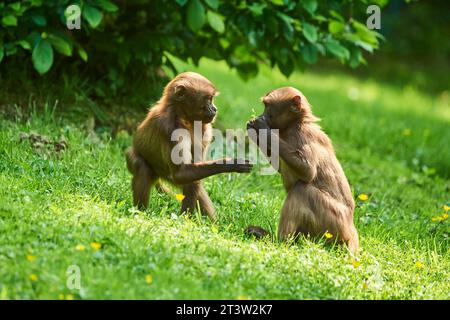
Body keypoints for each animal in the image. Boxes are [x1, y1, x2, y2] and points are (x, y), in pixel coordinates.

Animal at [126, 71, 253, 221]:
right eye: (208, 99)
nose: (215, 109)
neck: (184, 118)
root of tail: (159, 175)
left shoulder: (205, 129)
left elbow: (191, 176)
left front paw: (187, 219)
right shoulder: (169, 127)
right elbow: (182, 173)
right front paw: (230, 163)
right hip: (134, 159)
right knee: (141, 165)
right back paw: (139, 213)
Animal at [246, 87, 358, 252]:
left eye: (267, 106)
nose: (262, 115)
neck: (295, 124)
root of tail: (351, 230)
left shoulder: (302, 135)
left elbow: (308, 171)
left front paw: (263, 131)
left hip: (334, 223)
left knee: (301, 190)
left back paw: (278, 241)